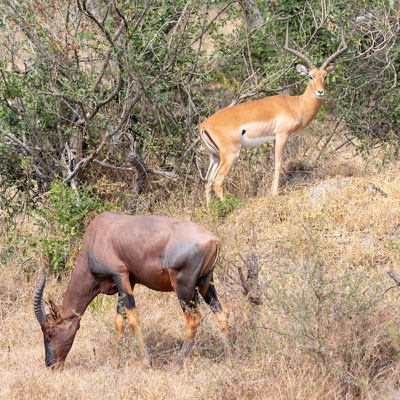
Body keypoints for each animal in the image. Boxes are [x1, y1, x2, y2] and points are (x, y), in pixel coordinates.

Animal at [34, 212, 228, 368]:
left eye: (48, 332)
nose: (51, 365)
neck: (98, 235)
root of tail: (215, 241)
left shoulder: (120, 276)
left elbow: (133, 318)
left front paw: (147, 363)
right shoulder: (128, 282)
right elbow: (119, 321)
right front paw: (115, 363)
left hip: (183, 288)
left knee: (194, 321)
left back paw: (177, 364)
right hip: (206, 284)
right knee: (221, 312)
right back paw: (229, 358)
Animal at [200, 18, 346, 203]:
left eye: (325, 76)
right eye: (310, 76)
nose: (320, 92)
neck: (296, 105)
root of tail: (204, 126)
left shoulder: (274, 139)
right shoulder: (281, 136)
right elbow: (278, 163)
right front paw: (275, 193)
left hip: (214, 155)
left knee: (207, 180)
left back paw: (210, 207)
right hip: (230, 154)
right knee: (217, 180)